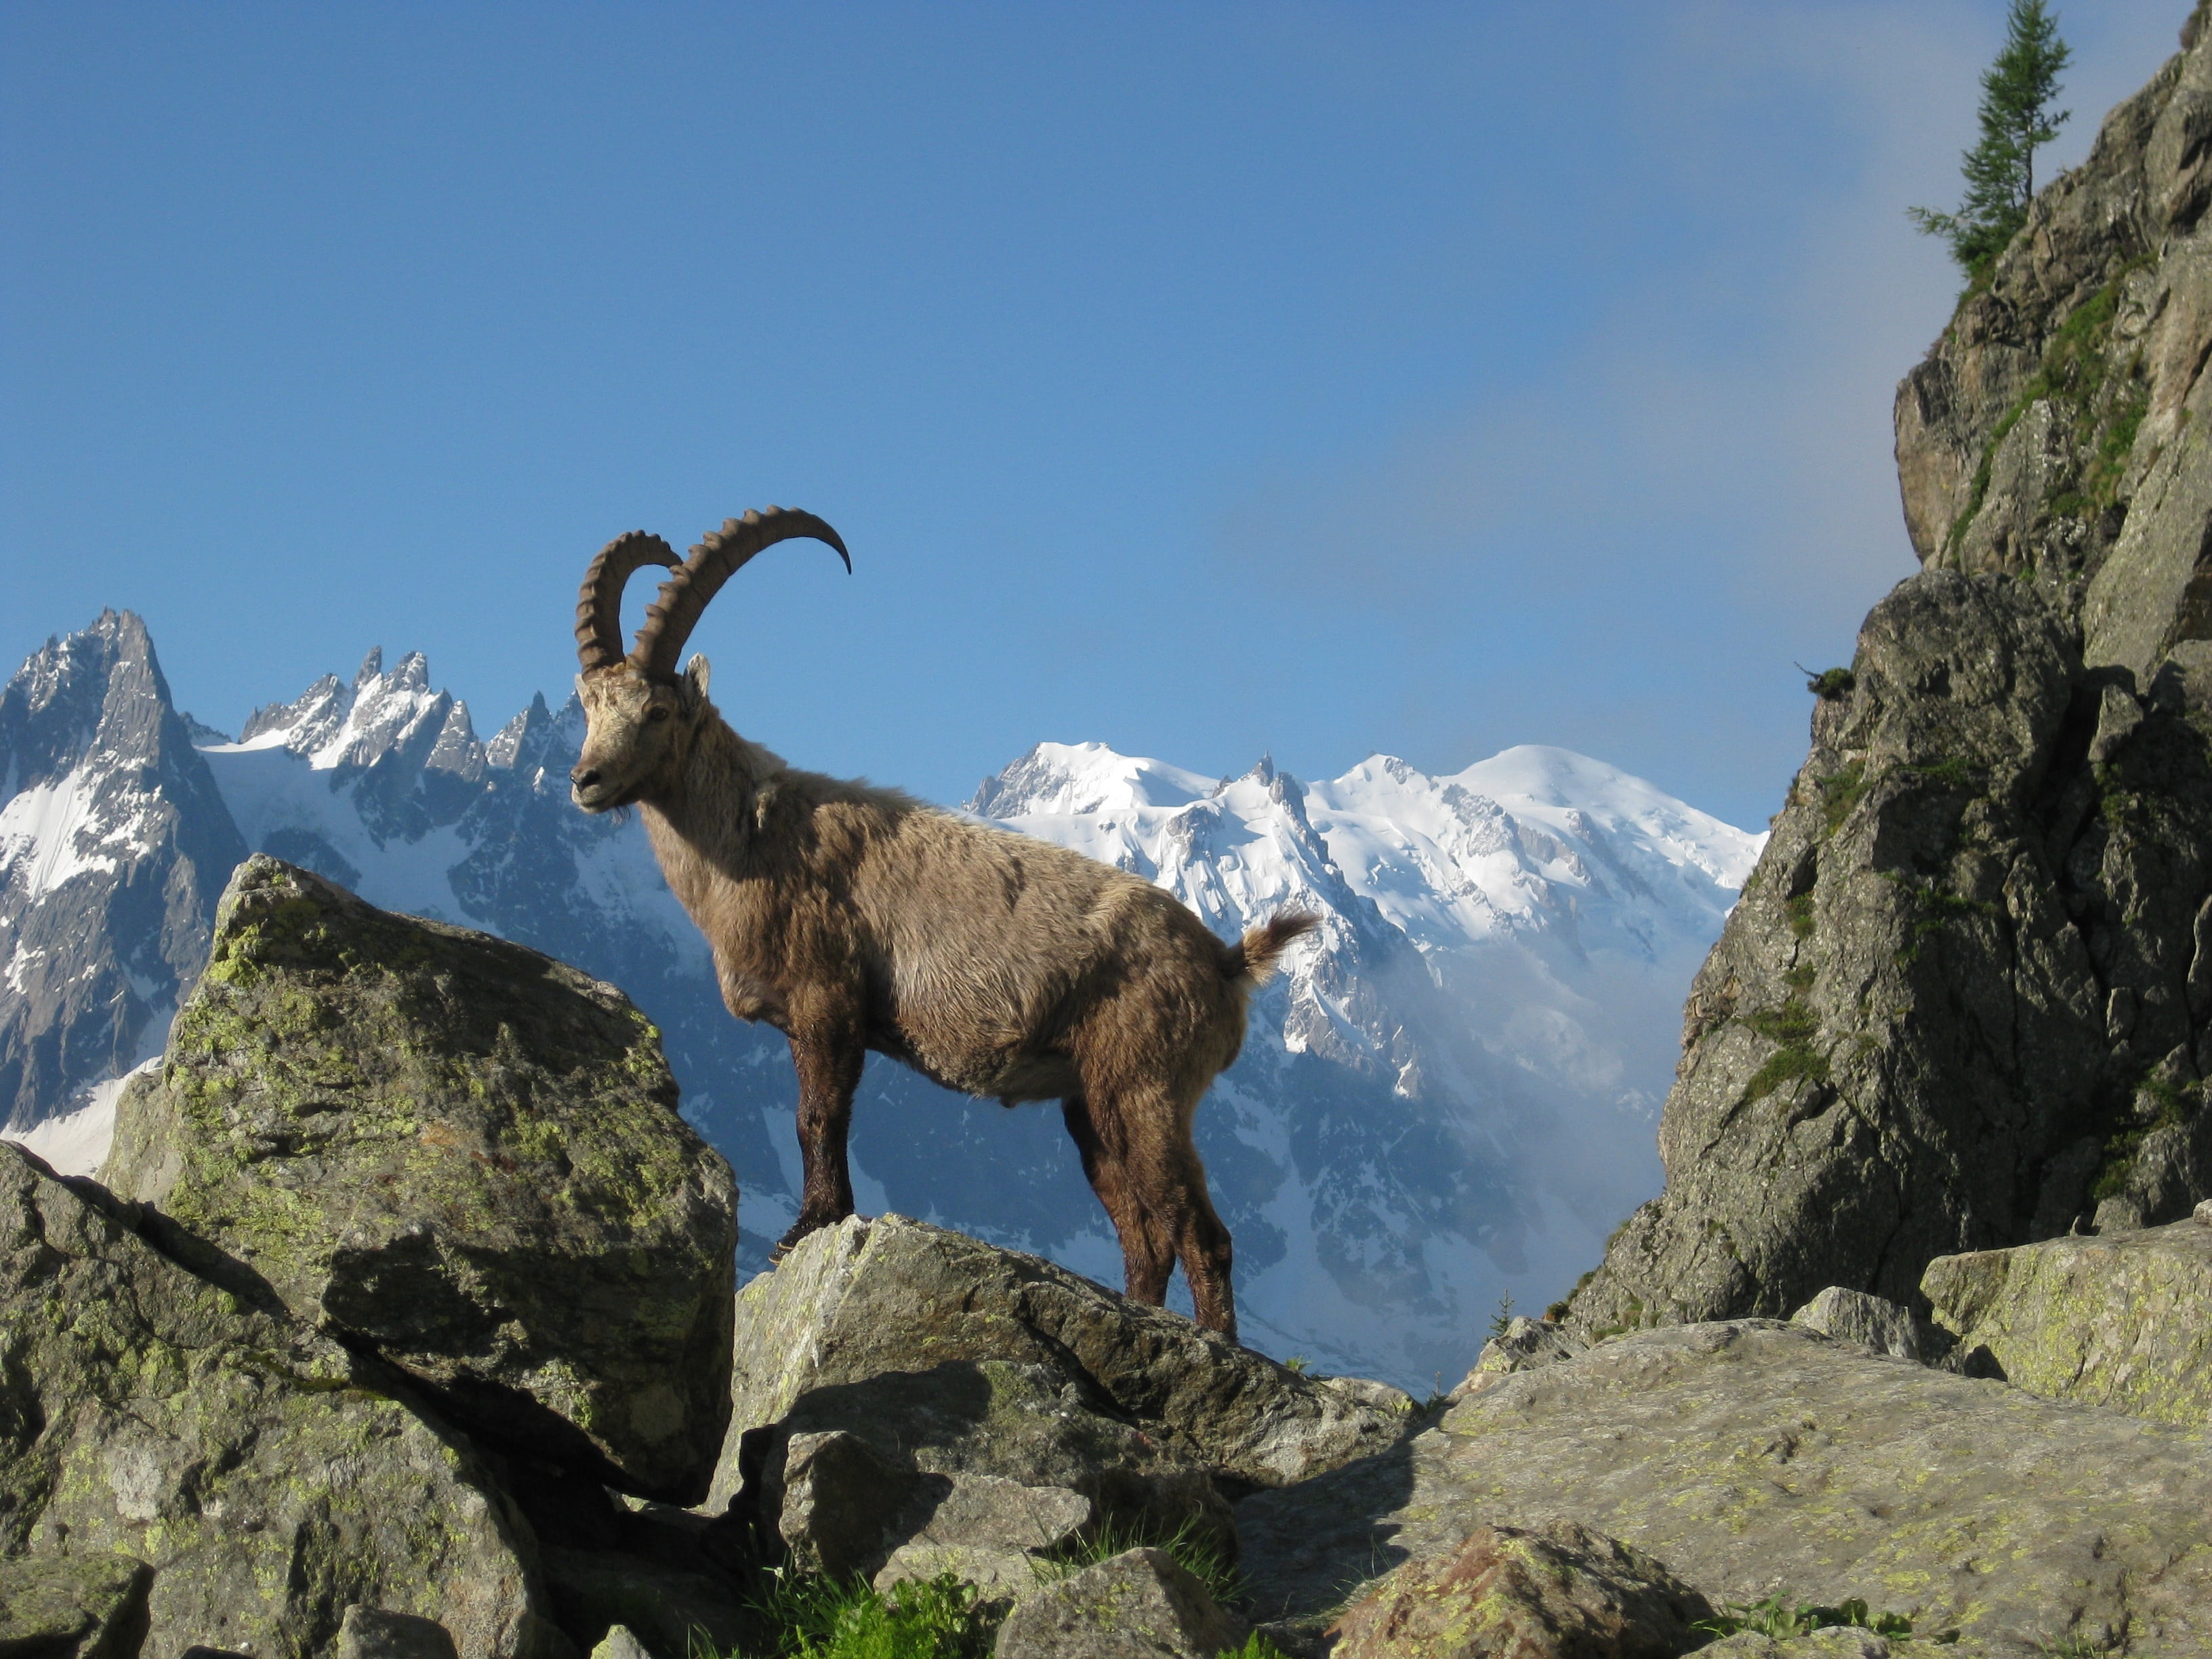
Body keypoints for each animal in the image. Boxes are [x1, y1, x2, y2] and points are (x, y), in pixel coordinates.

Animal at [567, 508, 1316, 1337]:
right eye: (588, 706)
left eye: (658, 711)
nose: (586, 780)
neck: (753, 839)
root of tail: (1226, 961)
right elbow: (819, 1117)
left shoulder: (829, 1000)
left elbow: (818, 1116)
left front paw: (808, 1228)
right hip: (1091, 1105)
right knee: (1143, 1232)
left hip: (1147, 1087)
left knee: (1201, 1233)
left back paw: (1213, 1342)